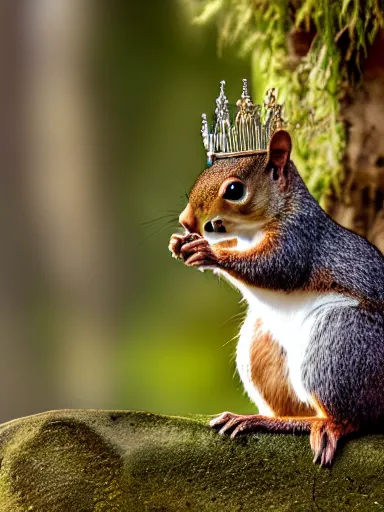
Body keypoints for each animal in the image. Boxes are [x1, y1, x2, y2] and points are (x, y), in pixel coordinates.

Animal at [168, 130, 384, 466]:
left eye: (234, 190)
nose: (186, 221)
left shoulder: (299, 239)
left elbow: (276, 268)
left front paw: (209, 252)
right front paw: (182, 243)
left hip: (340, 341)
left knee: (352, 418)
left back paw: (327, 425)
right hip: (261, 345)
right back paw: (263, 420)